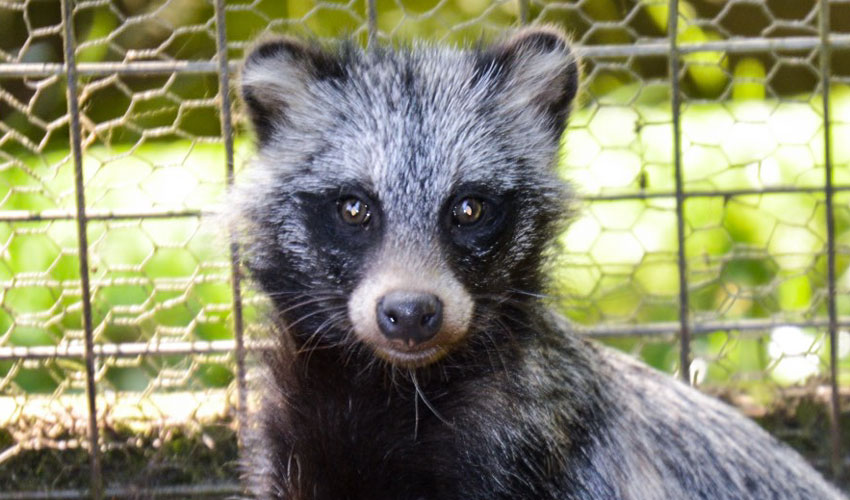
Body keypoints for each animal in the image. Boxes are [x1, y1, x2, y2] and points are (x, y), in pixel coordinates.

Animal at [230, 26, 840, 500]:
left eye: (469, 208)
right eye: (354, 207)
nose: (409, 312)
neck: (393, 391)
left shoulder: (534, 447)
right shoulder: (296, 443)